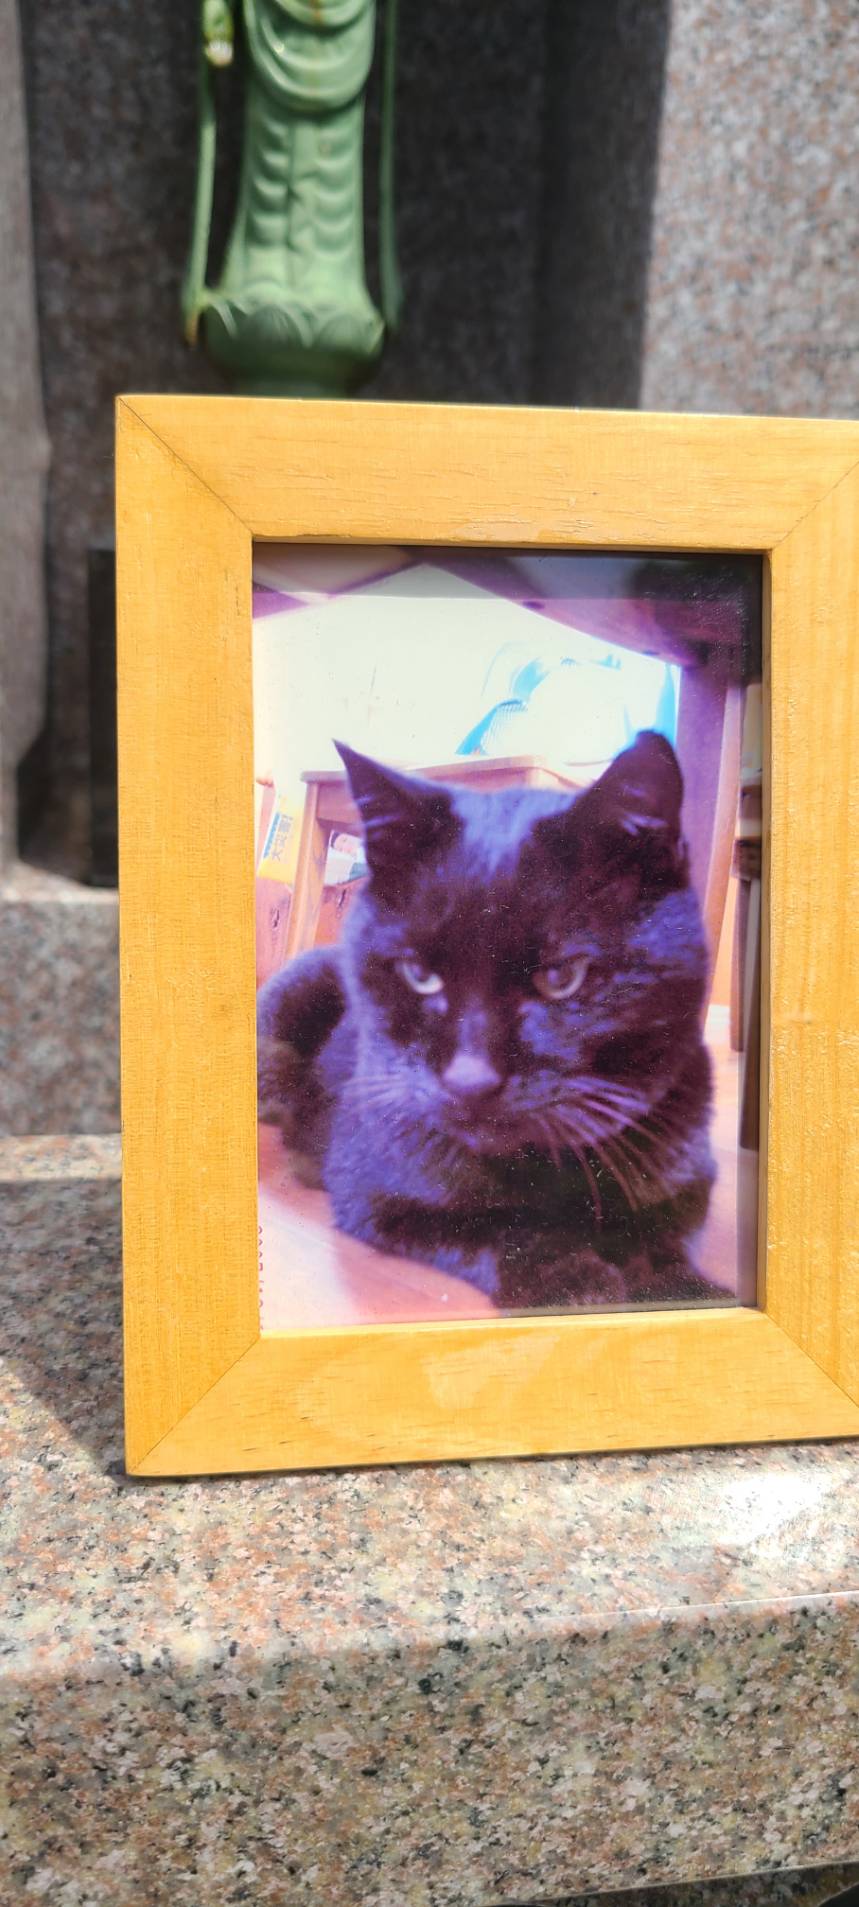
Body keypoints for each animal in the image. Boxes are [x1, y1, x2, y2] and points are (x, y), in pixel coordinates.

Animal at [257, 732, 718, 1311]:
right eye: (420, 975)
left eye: (561, 976)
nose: (469, 1080)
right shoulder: (378, 1191)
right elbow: (497, 1224)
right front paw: (575, 1277)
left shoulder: (686, 1187)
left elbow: (660, 1239)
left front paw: (681, 1284)